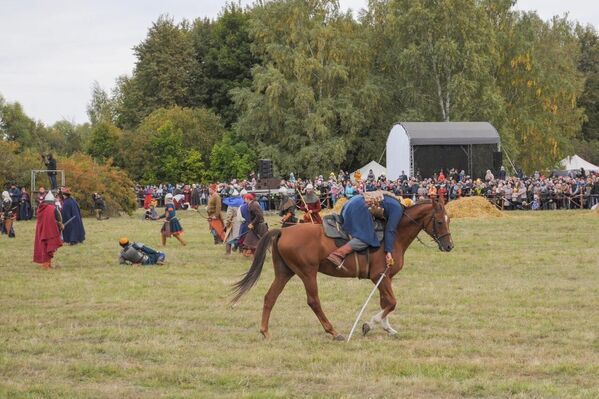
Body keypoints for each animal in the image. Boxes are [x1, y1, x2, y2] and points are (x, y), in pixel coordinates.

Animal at [232, 197, 452, 340]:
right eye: (440, 221)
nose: (449, 246)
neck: (396, 233)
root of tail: (283, 232)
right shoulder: (379, 276)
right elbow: (391, 303)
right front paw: (369, 325)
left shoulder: (385, 278)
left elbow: (386, 303)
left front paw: (387, 328)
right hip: (307, 272)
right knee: (313, 301)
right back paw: (333, 332)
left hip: (285, 272)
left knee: (270, 297)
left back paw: (265, 331)